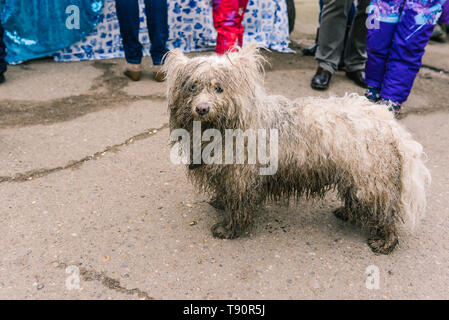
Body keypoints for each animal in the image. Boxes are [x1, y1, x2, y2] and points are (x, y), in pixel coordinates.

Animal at [162, 45, 430, 255]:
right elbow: (224, 192)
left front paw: (229, 229)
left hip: (371, 180)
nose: (202, 108)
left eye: (219, 88)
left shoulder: (242, 178)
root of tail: (388, 121)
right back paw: (347, 212)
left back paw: (386, 241)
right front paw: (220, 201)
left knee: (386, 211)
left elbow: (238, 205)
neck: (223, 126)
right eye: (192, 87)